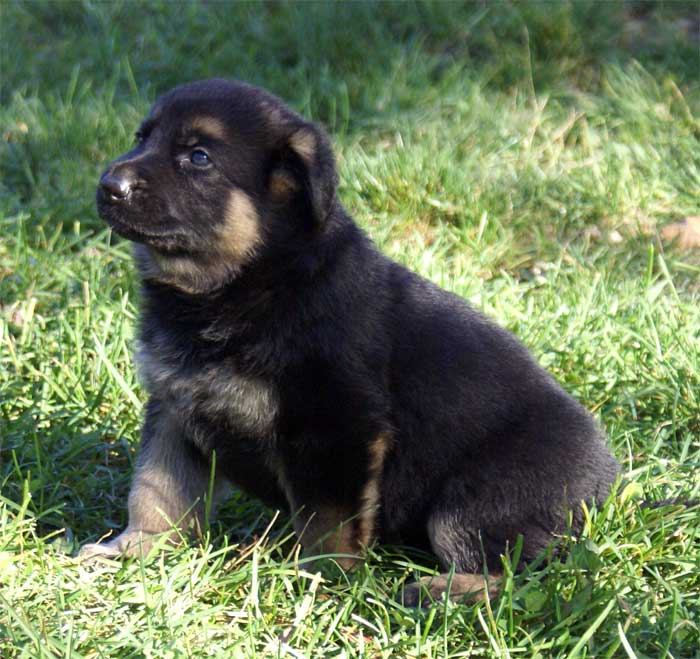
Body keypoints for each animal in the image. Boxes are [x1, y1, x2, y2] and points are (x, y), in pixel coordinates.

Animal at [83, 81, 616, 608]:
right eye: (142, 138)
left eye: (198, 157)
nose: (108, 185)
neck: (249, 280)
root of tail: (606, 481)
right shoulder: (175, 409)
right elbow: (154, 491)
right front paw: (132, 549)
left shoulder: (336, 426)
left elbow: (328, 521)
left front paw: (321, 582)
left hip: (478, 499)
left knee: (519, 573)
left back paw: (438, 590)